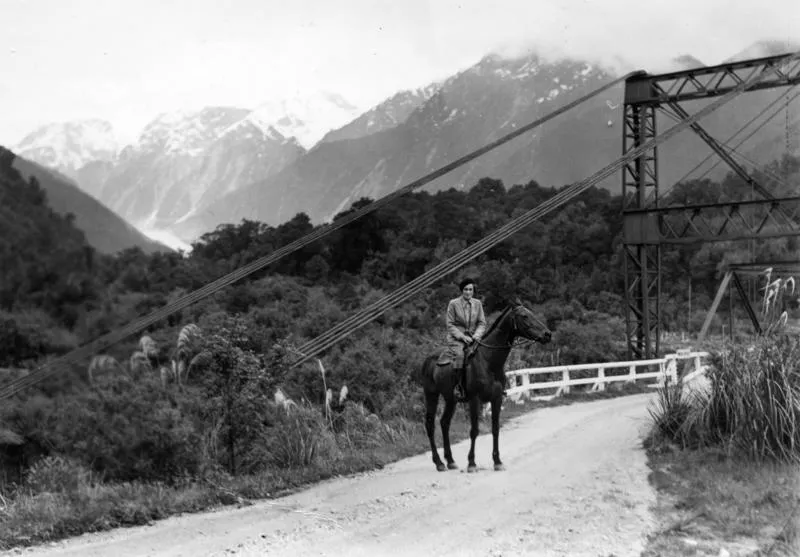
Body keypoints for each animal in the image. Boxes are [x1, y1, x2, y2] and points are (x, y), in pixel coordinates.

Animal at [416, 299, 552, 473]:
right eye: (524, 316)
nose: (547, 334)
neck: (489, 361)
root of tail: (428, 360)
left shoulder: (497, 399)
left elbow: (495, 429)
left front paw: (497, 461)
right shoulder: (475, 400)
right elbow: (474, 430)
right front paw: (471, 463)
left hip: (450, 399)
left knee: (444, 423)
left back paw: (450, 461)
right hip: (431, 395)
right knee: (430, 424)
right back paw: (439, 463)